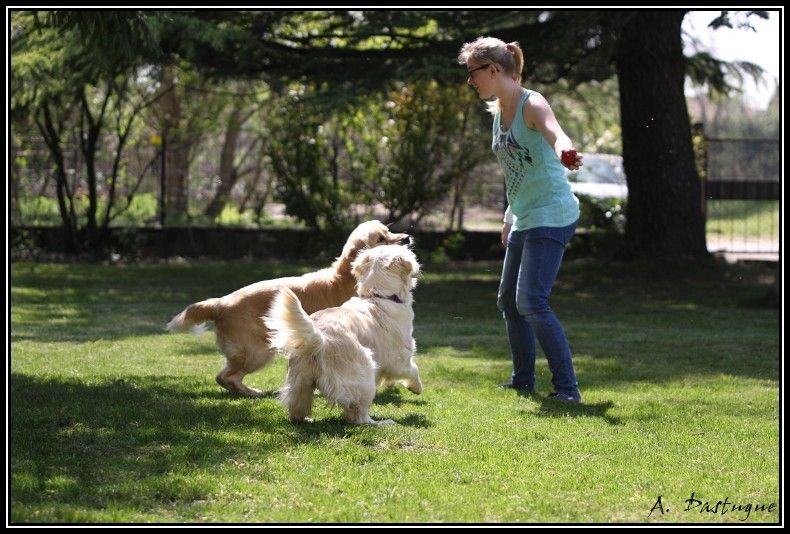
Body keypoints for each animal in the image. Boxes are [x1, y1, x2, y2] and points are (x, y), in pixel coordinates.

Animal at [168, 221, 414, 398]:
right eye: (381, 239)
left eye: (389, 231)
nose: (407, 238)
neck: (345, 278)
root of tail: (220, 303)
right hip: (257, 352)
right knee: (225, 377)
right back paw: (252, 393)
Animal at [266, 245, 424, 426]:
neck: (378, 296)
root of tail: (320, 339)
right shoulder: (399, 359)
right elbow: (413, 369)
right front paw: (416, 388)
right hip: (365, 375)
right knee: (360, 417)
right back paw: (384, 423)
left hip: (300, 383)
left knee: (296, 411)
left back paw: (307, 419)